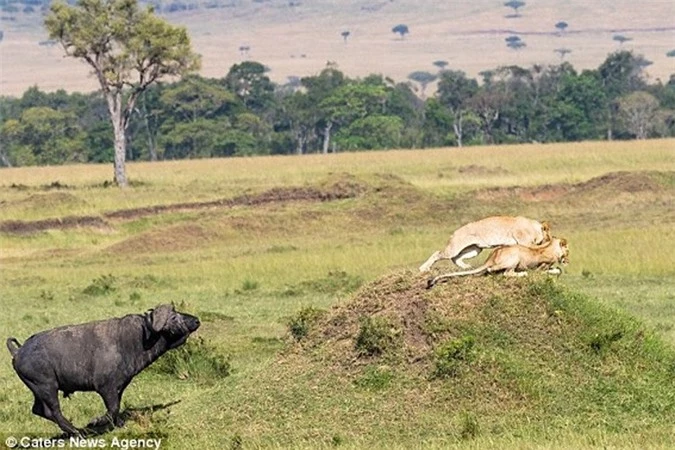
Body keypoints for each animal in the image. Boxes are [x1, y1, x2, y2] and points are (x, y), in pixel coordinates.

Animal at [420, 216, 552, 272]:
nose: (550, 238)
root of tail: (455, 231)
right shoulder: (525, 241)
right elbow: (535, 250)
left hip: (474, 250)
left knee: (455, 258)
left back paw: (466, 267)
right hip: (455, 247)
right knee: (438, 253)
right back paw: (424, 268)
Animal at [428, 239, 572, 288]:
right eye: (568, 251)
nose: (568, 261)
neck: (551, 246)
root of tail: (491, 257)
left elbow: (556, 269)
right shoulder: (539, 268)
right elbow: (549, 270)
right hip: (515, 257)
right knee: (501, 272)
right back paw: (522, 274)